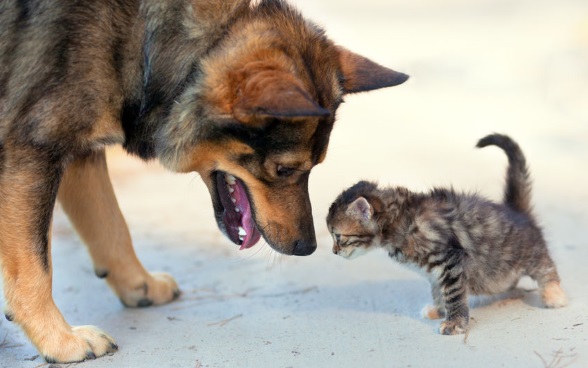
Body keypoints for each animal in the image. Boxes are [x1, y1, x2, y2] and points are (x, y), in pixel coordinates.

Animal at [0, 0, 408, 362]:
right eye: (284, 170)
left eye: (315, 166)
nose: (308, 247)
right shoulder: (31, 151)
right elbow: (35, 266)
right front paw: (59, 341)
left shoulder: (80, 151)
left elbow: (111, 225)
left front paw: (138, 284)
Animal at [328, 134, 568, 334]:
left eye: (338, 237)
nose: (334, 252)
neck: (399, 220)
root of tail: (514, 210)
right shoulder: (435, 271)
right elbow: (438, 290)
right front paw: (438, 310)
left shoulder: (450, 260)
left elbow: (453, 294)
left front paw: (455, 323)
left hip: (528, 252)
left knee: (546, 267)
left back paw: (554, 295)